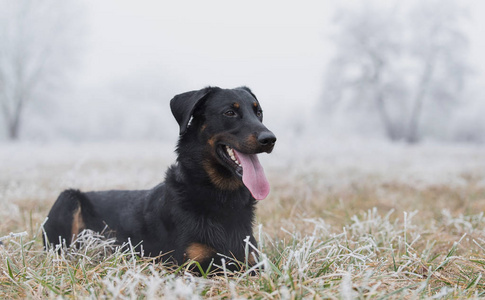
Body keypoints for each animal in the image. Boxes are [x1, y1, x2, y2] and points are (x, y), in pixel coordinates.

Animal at [43, 85, 276, 274]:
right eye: (230, 112)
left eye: (259, 112)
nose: (270, 139)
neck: (220, 197)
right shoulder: (190, 265)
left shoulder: (251, 261)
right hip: (68, 199)